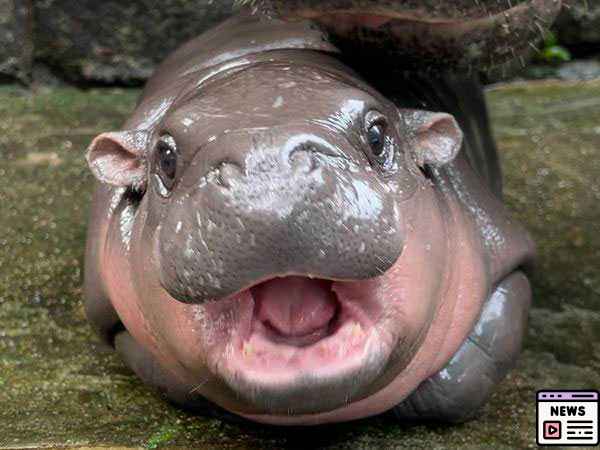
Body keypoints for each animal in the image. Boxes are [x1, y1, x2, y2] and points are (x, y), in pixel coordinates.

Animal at [83, 11, 536, 426]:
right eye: (165, 156)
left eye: (377, 135)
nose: (269, 173)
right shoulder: (111, 316)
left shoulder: (508, 258)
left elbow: (463, 376)